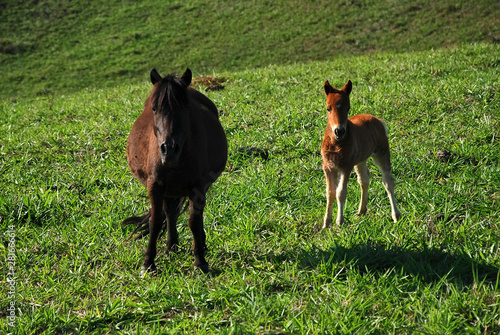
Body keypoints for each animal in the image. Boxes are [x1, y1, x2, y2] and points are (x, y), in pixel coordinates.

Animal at [123, 68, 229, 276]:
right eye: (154, 108)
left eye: (185, 108)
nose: (169, 149)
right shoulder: (155, 186)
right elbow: (155, 222)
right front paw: (148, 264)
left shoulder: (197, 188)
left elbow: (194, 221)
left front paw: (200, 262)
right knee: (170, 212)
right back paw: (171, 246)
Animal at [322, 79, 400, 228]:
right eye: (328, 108)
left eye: (348, 108)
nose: (339, 131)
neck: (336, 143)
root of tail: (377, 119)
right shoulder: (328, 167)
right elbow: (330, 192)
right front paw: (326, 224)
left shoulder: (346, 166)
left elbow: (341, 192)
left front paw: (339, 221)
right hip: (360, 160)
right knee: (364, 179)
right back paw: (361, 211)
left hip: (381, 152)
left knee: (388, 181)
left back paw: (396, 216)